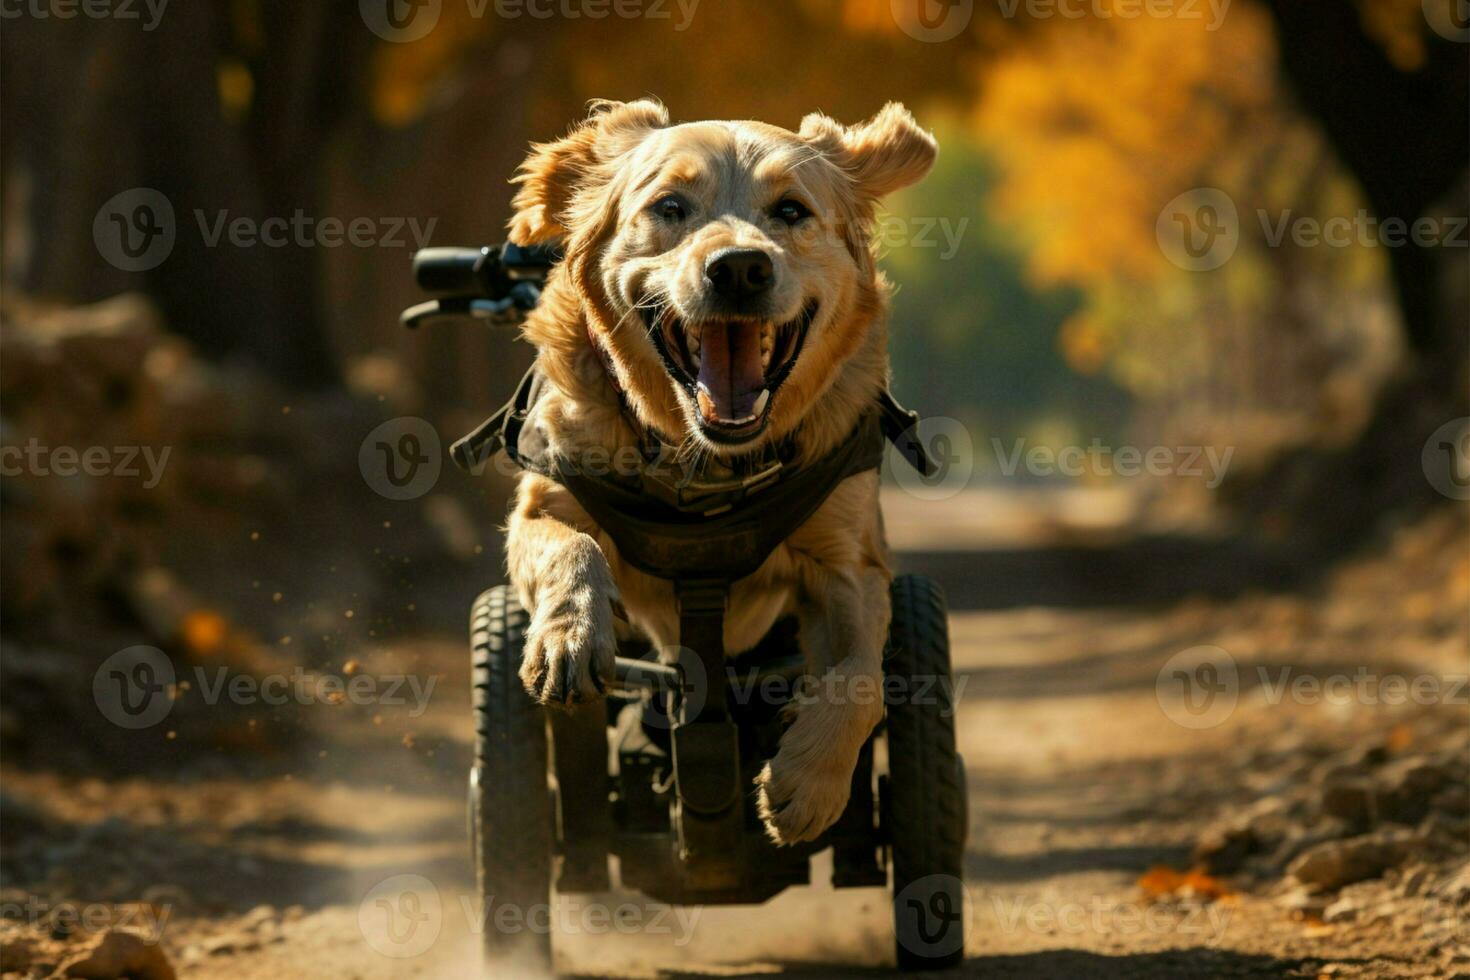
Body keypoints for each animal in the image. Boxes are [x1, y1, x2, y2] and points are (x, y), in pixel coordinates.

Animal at [505, 103, 934, 846]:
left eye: (791, 210)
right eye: (669, 207)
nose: (739, 269)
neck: (710, 469)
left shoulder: (848, 562)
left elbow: (862, 677)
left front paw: (810, 783)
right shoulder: (544, 498)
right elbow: (571, 546)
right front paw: (568, 635)